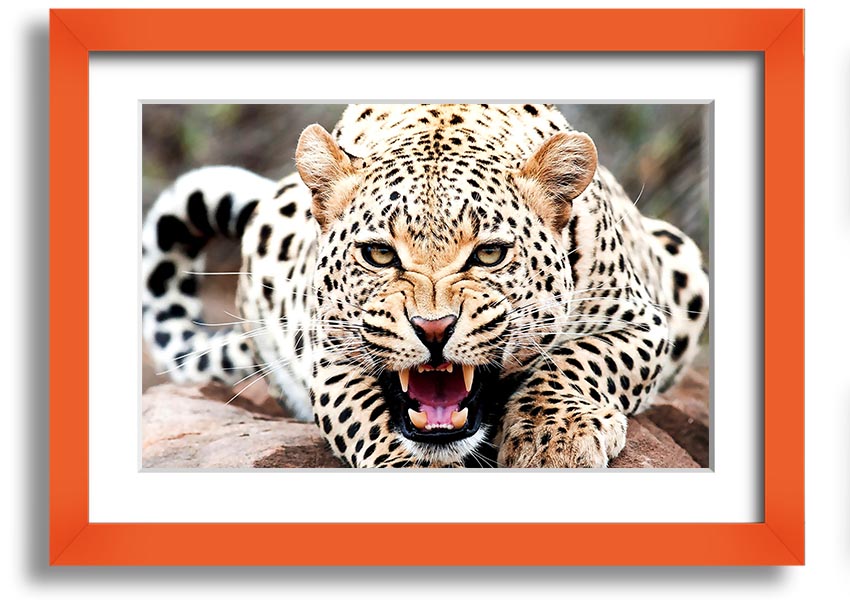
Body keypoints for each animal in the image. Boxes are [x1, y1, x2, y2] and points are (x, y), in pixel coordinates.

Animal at [142, 104, 709, 468]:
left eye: (489, 254)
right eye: (378, 254)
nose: (433, 329)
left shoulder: (642, 321)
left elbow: (579, 360)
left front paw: (554, 439)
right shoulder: (330, 358)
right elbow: (369, 418)